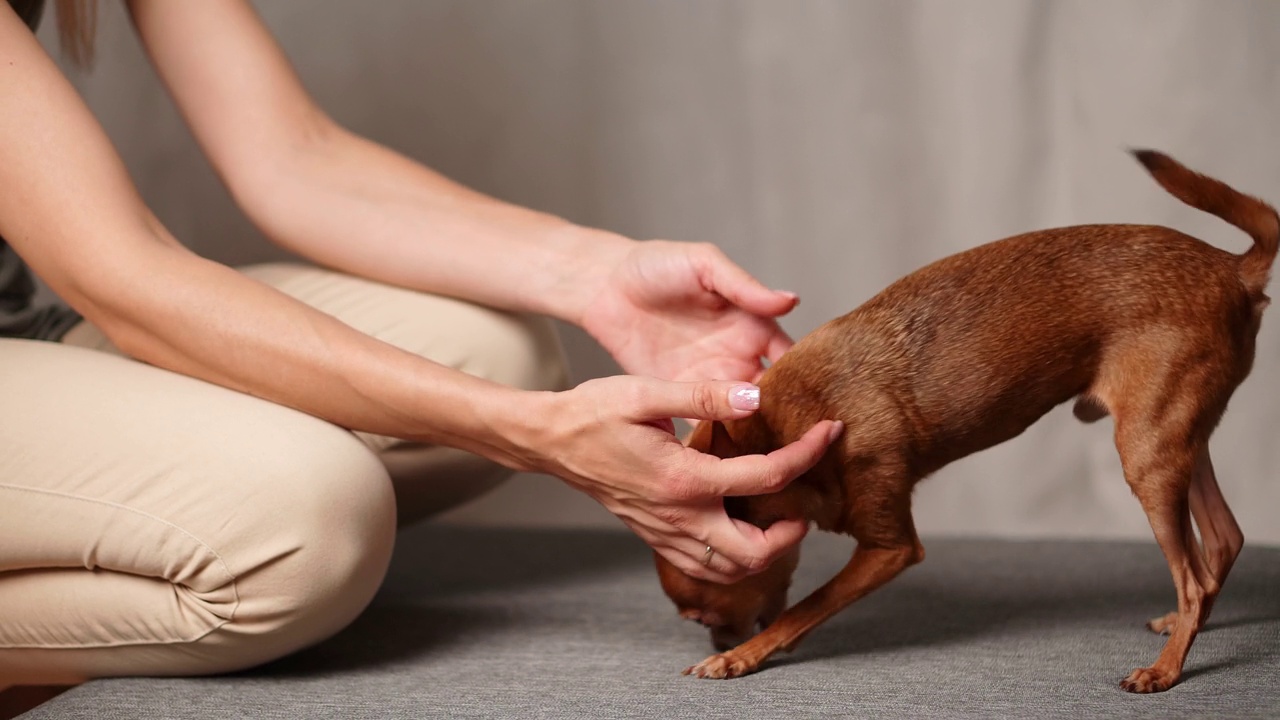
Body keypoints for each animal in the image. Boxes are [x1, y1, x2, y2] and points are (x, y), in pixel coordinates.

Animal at [655, 149, 1274, 691]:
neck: (789, 420)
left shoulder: (889, 548)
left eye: (706, 611)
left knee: (1194, 577)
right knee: (1223, 539)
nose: (718, 640)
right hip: (1175, 441)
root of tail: (1234, 271)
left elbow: (804, 607)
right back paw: (1181, 627)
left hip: (1148, 456)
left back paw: (1165, 669)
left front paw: (738, 657)